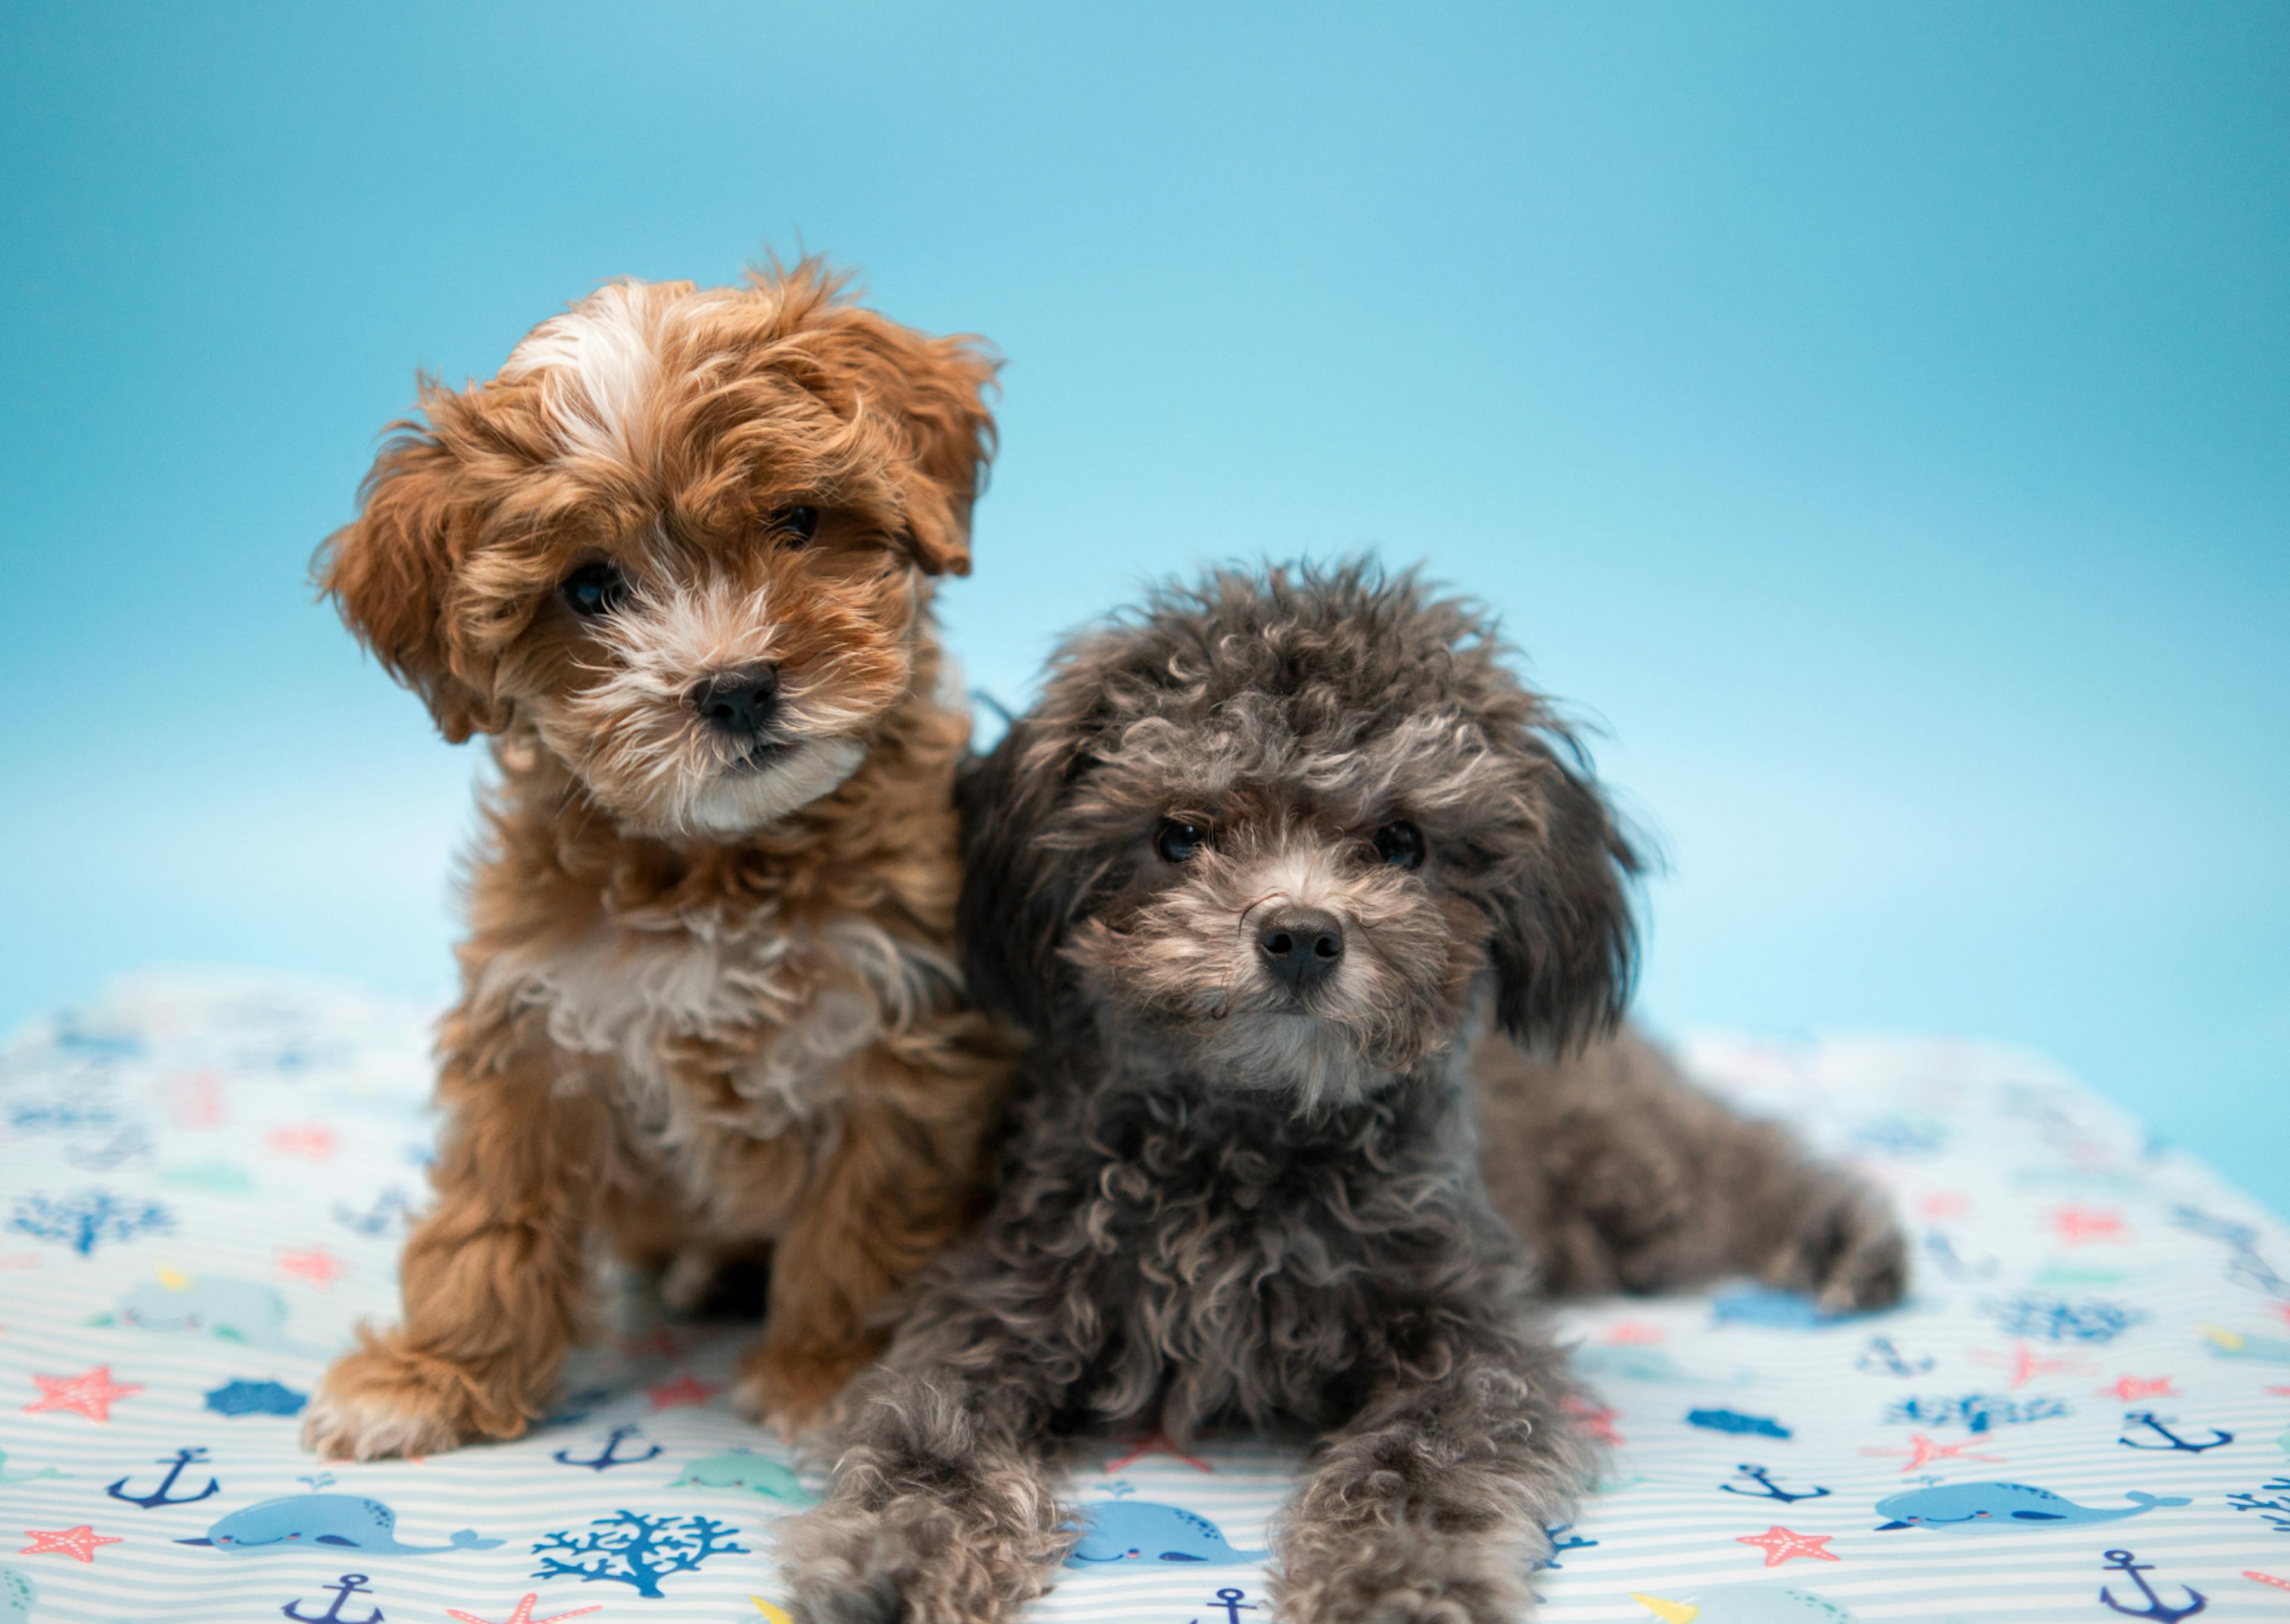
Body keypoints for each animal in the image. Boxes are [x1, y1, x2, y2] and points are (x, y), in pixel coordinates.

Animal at [302, 263, 1012, 1456]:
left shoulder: (897, 1036)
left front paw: (829, 1372)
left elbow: (864, 1220)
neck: (720, 863)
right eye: (592, 587)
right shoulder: (535, 1020)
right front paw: (433, 1373)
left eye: (796, 521)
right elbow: (491, 1209)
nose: (736, 687)